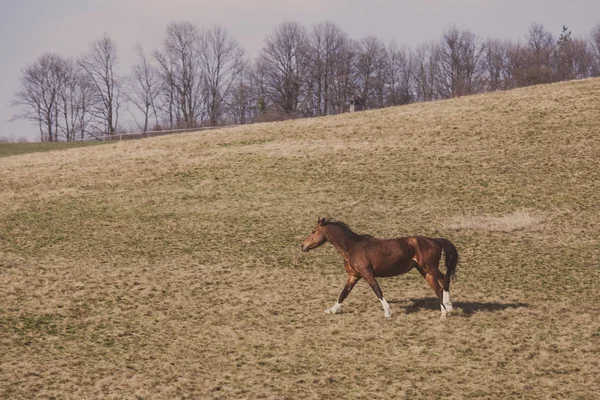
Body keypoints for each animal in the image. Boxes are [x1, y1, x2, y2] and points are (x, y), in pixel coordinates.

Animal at [300, 219, 460, 318]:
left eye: (313, 231)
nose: (303, 245)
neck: (352, 247)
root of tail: (435, 240)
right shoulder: (354, 276)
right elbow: (344, 293)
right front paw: (332, 310)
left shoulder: (367, 274)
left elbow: (377, 291)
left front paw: (388, 312)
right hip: (424, 271)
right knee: (438, 289)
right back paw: (443, 314)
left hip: (430, 267)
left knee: (444, 280)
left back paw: (449, 306)